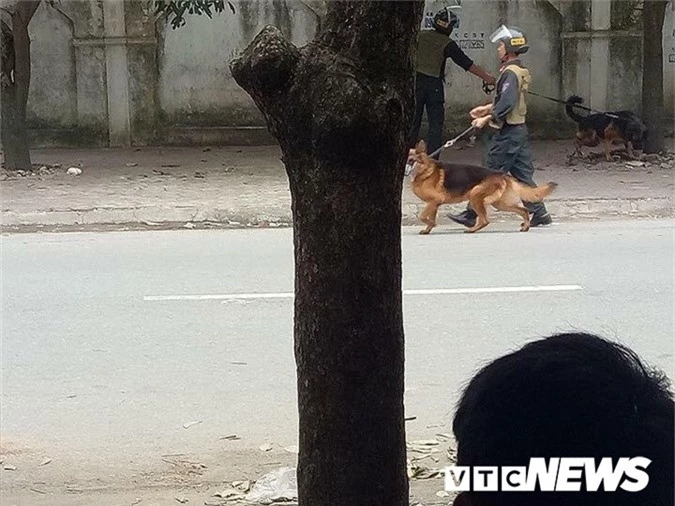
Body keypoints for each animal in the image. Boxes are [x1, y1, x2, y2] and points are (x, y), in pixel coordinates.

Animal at [406, 140, 560, 235]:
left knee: (485, 220)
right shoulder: (434, 203)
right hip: (500, 203)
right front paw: (429, 228)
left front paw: (430, 224)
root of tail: (501, 174)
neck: (424, 170)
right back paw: (526, 226)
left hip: (475, 195)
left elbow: (423, 216)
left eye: (411, 160)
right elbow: (430, 218)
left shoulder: (435, 200)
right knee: (523, 210)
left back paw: (472, 230)